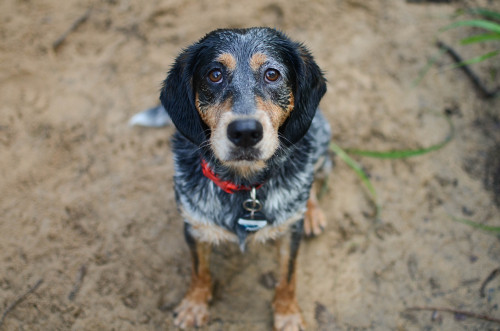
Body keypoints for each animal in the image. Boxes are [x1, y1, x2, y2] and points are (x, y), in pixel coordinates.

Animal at [154, 27, 330, 330]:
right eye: (214, 74)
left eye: (272, 74)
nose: (246, 131)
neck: (244, 186)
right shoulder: (194, 225)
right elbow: (199, 270)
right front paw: (194, 304)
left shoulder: (289, 234)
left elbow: (288, 276)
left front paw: (288, 314)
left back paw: (312, 212)